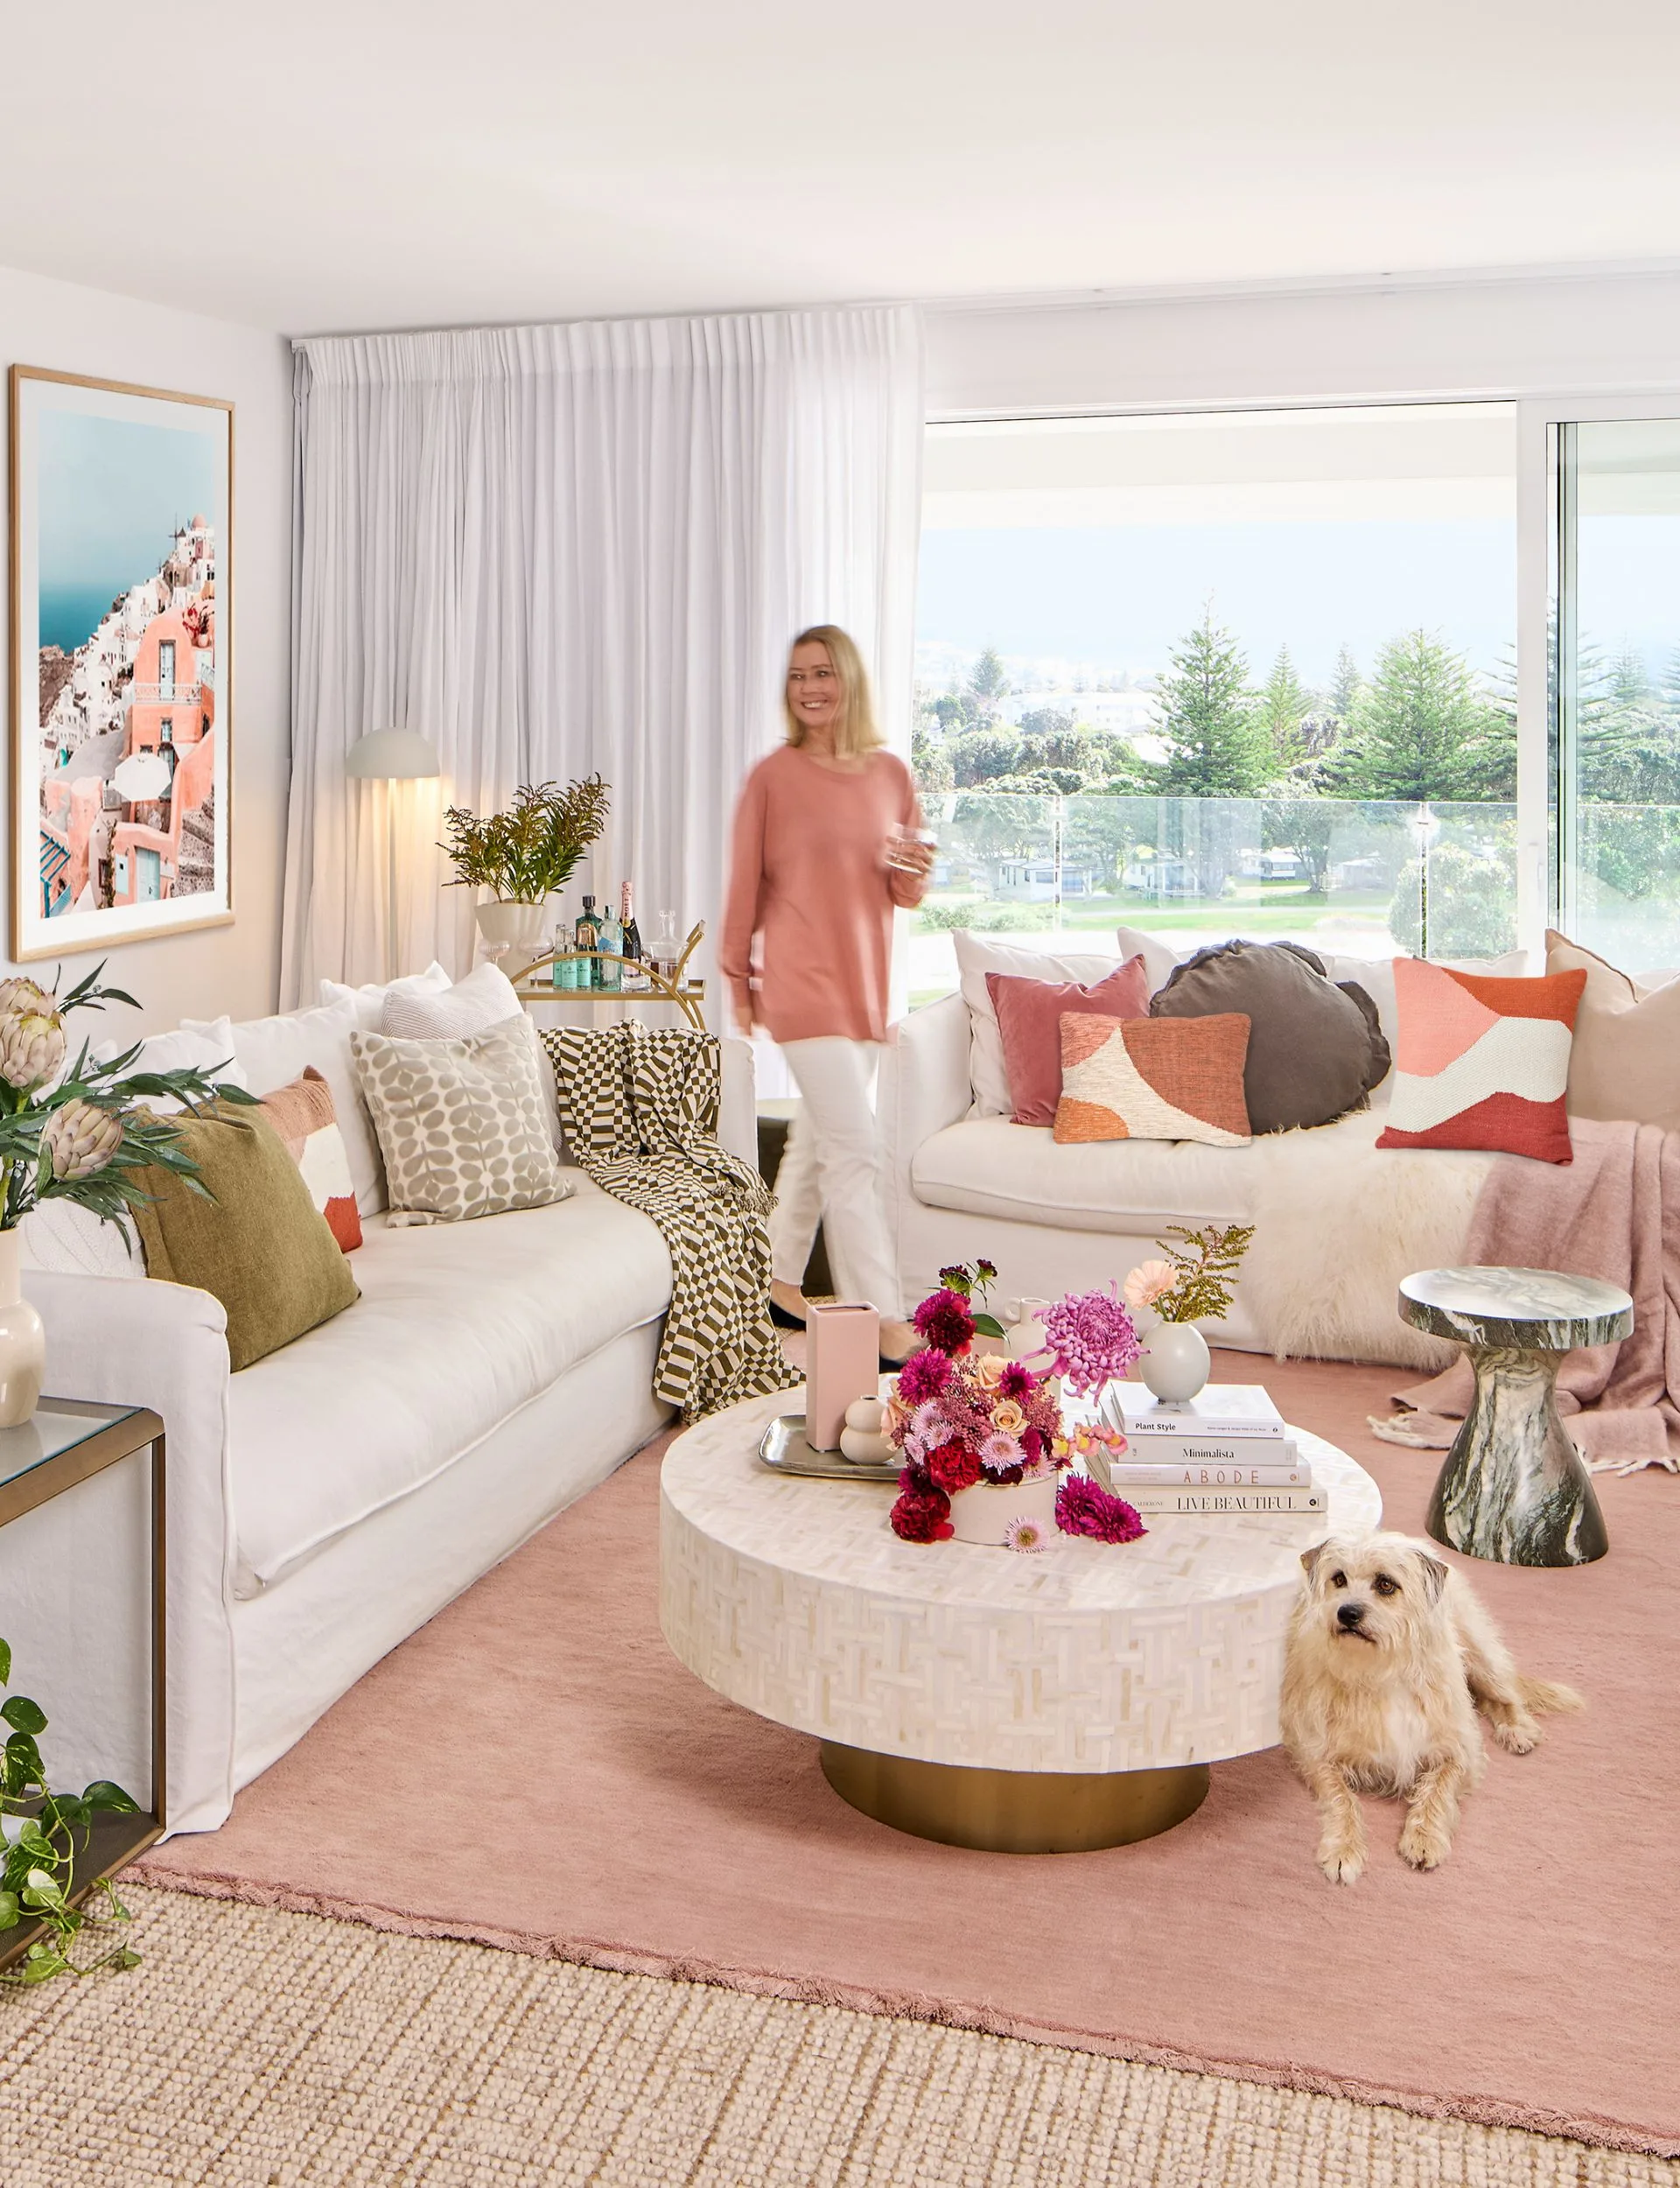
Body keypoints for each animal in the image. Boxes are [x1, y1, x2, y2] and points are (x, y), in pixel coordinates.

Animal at [1278, 1540, 1584, 1882]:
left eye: (1386, 1584)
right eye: (1339, 1578)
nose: (1347, 1613)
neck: (1382, 1669)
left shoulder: (1458, 1750)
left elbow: (1438, 1788)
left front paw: (1424, 1839)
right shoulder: (1315, 1752)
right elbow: (1340, 1797)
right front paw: (1344, 1848)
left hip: (1478, 1657)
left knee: (1503, 1694)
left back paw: (1518, 1729)